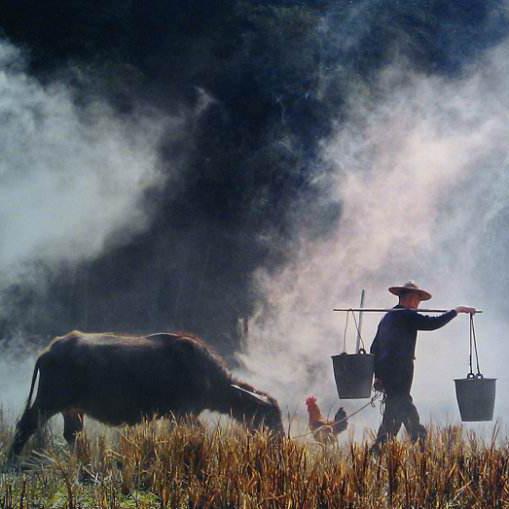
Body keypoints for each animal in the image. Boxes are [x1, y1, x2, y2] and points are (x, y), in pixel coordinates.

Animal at [7, 332, 284, 458]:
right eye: (270, 417)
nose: (281, 439)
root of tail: (49, 350)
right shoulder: (184, 413)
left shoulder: (180, 415)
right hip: (48, 401)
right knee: (26, 425)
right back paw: (12, 459)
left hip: (72, 408)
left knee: (71, 434)